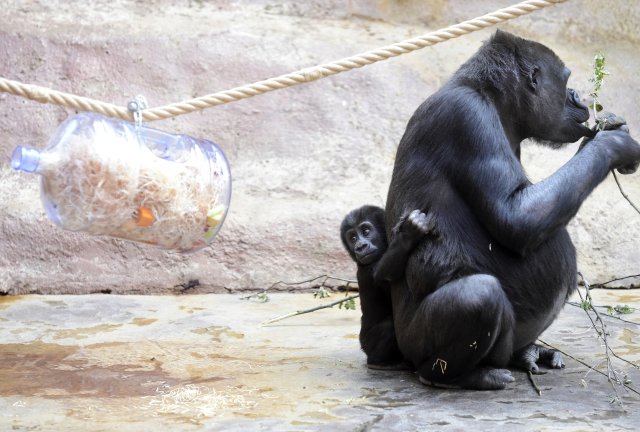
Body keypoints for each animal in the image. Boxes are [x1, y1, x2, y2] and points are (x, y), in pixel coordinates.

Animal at [340, 206, 436, 368]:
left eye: (366, 231)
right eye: (352, 238)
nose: (360, 246)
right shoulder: (368, 268)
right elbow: (383, 273)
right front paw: (408, 234)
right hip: (367, 345)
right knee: (389, 327)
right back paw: (379, 362)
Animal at [384, 28, 640, 390]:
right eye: (566, 81)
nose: (576, 95)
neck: (494, 102)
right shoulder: (468, 117)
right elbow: (517, 218)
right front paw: (613, 144)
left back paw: (525, 353)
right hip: (414, 345)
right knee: (479, 295)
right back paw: (459, 375)